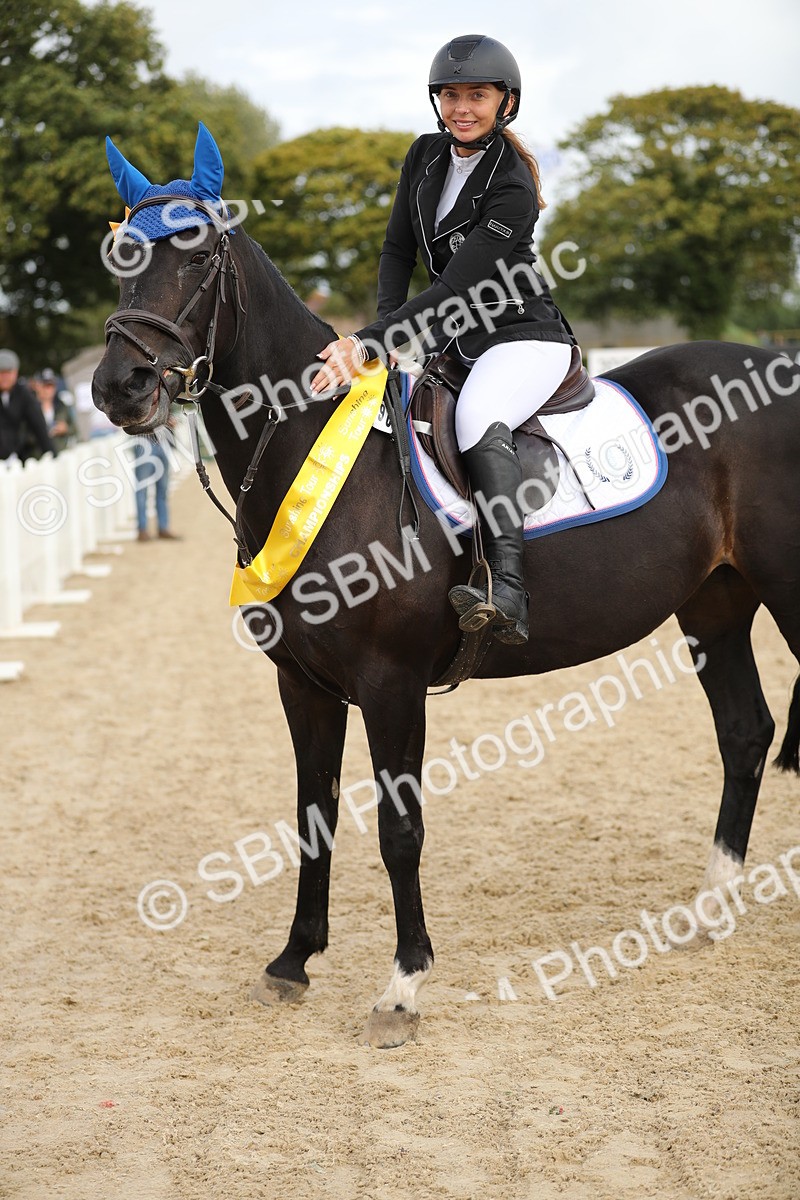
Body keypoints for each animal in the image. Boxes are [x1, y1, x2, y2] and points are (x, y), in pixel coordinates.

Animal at [93, 126, 800, 1048]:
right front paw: (293, 961)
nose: (120, 387)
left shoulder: (392, 684)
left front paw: (402, 987)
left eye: (200, 250)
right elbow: (312, 816)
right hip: (715, 603)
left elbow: (400, 829)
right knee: (745, 733)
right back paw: (710, 910)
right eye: (122, 257)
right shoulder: (303, 686)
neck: (313, 451)